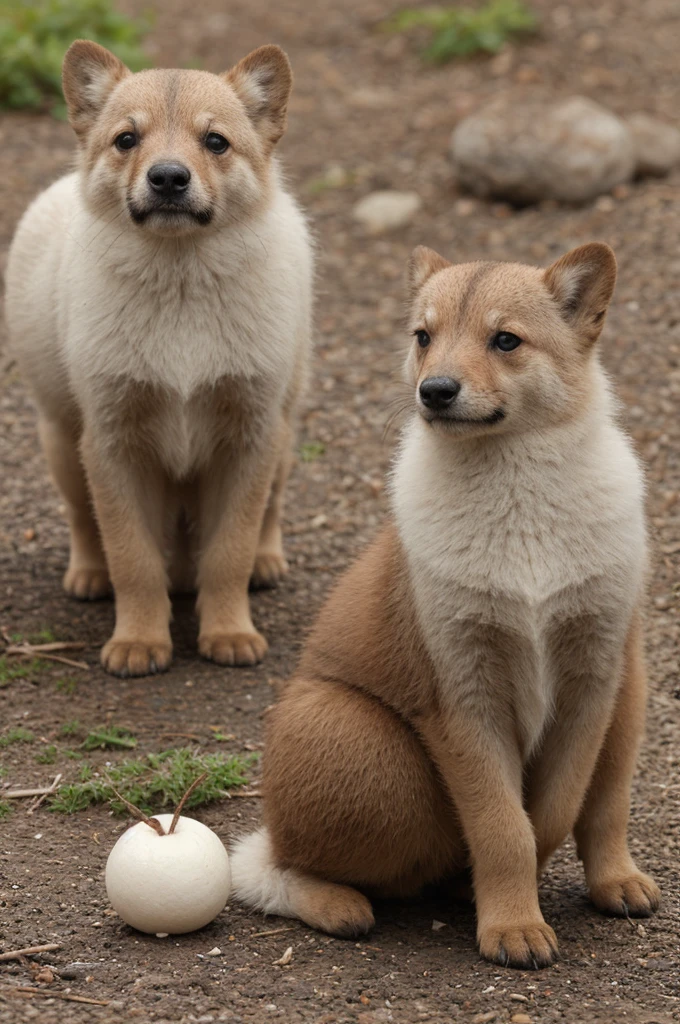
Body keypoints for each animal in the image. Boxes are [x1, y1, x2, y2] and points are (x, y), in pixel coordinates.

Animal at [4, 41, 313, 679]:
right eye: (127, 139)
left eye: (215, 141)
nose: (168, 177)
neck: (180, 287)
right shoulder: (112, 443)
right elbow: (133, 558)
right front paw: (139, 642)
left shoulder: (249, 439)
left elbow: (229, 551)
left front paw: (229, 633)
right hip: (61, 440)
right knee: (84, 519)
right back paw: (89, 574)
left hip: (285, 430)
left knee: (268, 512)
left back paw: (266, 562)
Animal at [229, 241, 659, 966]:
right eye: (423, 337)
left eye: (506, 340)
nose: (434, 391)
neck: (518, 495)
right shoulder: (462, 697)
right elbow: (505, 827)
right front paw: (513, 927)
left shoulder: (592, 685)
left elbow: (553, 811)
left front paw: (507, 907)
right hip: (362, 744)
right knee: (277, 862)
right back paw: (338, 903)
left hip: (631, 699)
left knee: (605, 810)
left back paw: (615, 882)